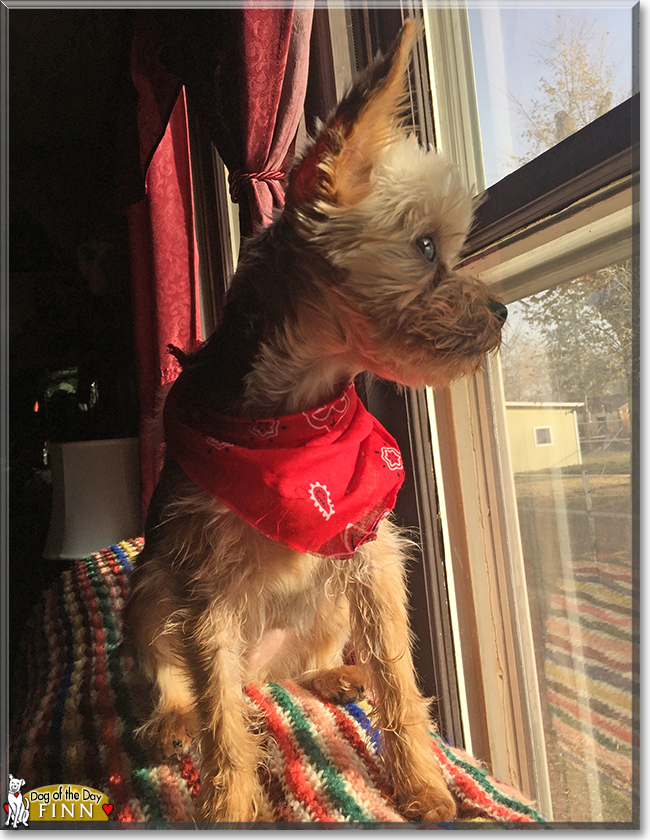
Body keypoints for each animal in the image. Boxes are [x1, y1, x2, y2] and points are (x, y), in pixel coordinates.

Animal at [125, 18, 506, 820]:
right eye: (426, 246)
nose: (501, 312)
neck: (299, 417)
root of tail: (261, 671)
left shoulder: (368, 546)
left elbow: (398, 674)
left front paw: (421, 785)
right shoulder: (205, 590)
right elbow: (221, 723)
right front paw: (232, 807)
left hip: (325, 598)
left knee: (304, 666)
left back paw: (331, 675)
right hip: (152, 593)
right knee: (187, 678)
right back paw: (171, 717)